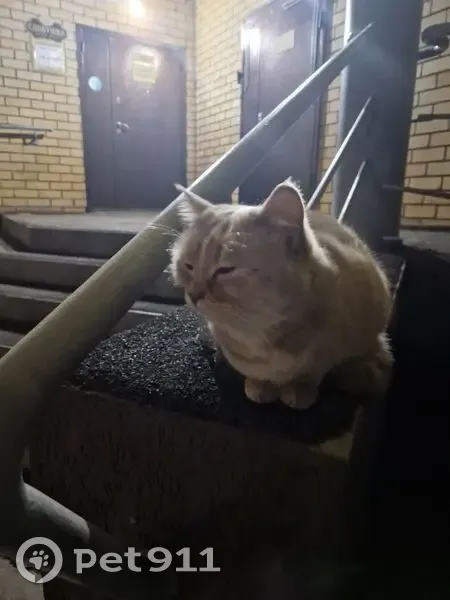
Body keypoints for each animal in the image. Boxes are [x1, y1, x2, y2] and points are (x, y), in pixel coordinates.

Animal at [169, 179, 393, 410]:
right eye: (188, 266)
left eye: (225, 270)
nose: (194, 294)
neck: (258, 330)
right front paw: (259, 385)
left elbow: (318, 370)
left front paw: (300, 388)